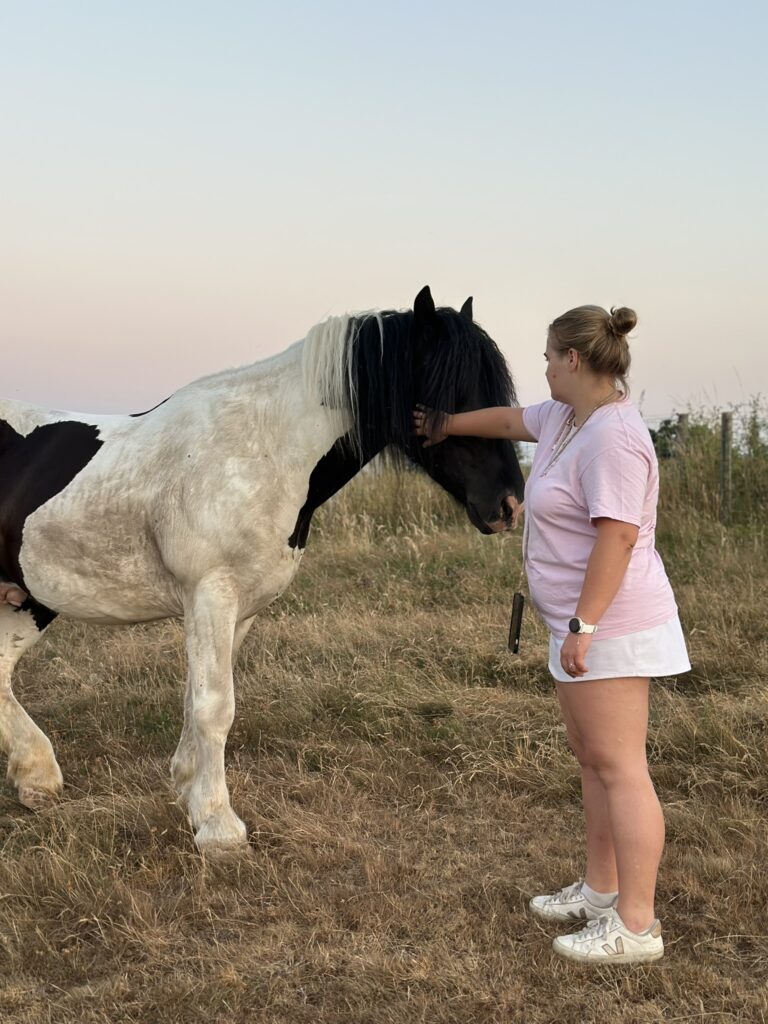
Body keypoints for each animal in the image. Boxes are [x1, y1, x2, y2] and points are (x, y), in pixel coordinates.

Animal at [0, 285, 525, 853]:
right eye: (450, 390)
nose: (509, 504)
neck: (263, 450)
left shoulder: (240, 607)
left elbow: (197, 698)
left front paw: (188, 787)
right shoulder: (210, 594)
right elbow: (214, 706)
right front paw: (218, 827)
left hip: (27, 599)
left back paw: (36, 777)